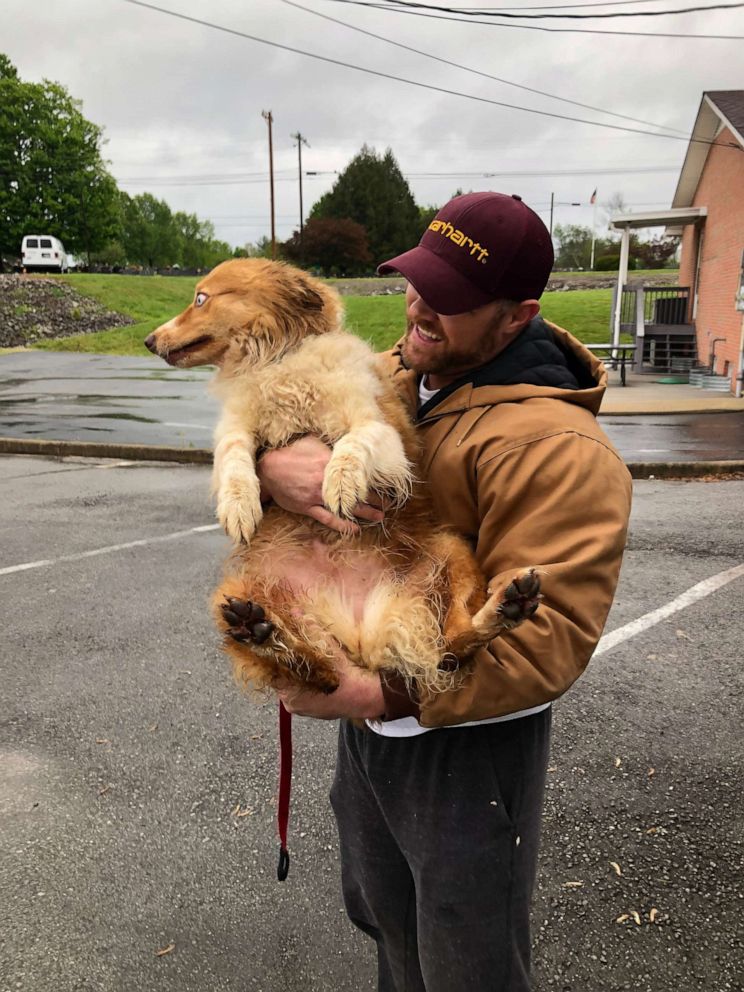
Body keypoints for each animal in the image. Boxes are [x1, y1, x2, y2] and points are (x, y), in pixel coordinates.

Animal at [145, 260, 540, 700]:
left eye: (201, 298)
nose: (148, 341)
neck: (273, 363)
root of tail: (362, 636)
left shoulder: (380, 429)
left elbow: (352, 444)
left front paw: (339, 485)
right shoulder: (237, 428)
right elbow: (233, 457)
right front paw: (238, 507)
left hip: (453, 552)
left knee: (453, 646)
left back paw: (508, 607)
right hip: (230, 596)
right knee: (318, 669)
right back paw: (262, 632)